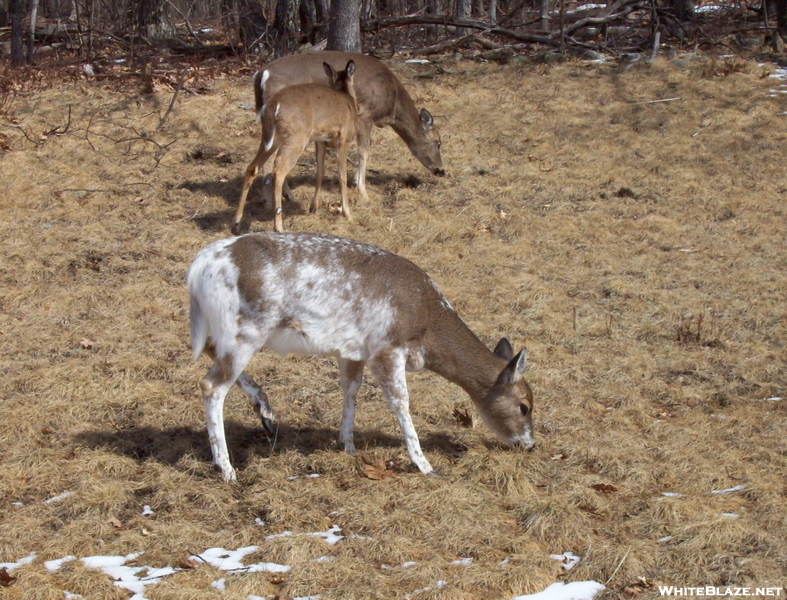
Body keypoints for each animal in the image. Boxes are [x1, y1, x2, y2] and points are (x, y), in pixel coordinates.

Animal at [188, 232, 540, 480]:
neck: (426, 325)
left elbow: (351, 390)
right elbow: (400, 401)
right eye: (524, 406)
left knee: (208, 352)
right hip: (246, 328)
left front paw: (348, 445)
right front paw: (424, 464)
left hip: (220, 329)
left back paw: (265, 411)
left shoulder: (353, 350)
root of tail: (197, 268)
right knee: (211, 385)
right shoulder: (387, 347)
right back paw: (226, 468)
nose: (530, 444)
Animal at [232, 60, 358, 234]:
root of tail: (273, 105)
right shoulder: (344, 139)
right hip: (296, 138)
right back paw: (278, 225)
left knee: (252, 167)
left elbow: (320, 172)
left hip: (271, 138)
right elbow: (342, 175)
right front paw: (348, 213)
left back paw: (236, 223)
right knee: (278, 170)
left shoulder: (320, 140)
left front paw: (313, 208)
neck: (348, 99)